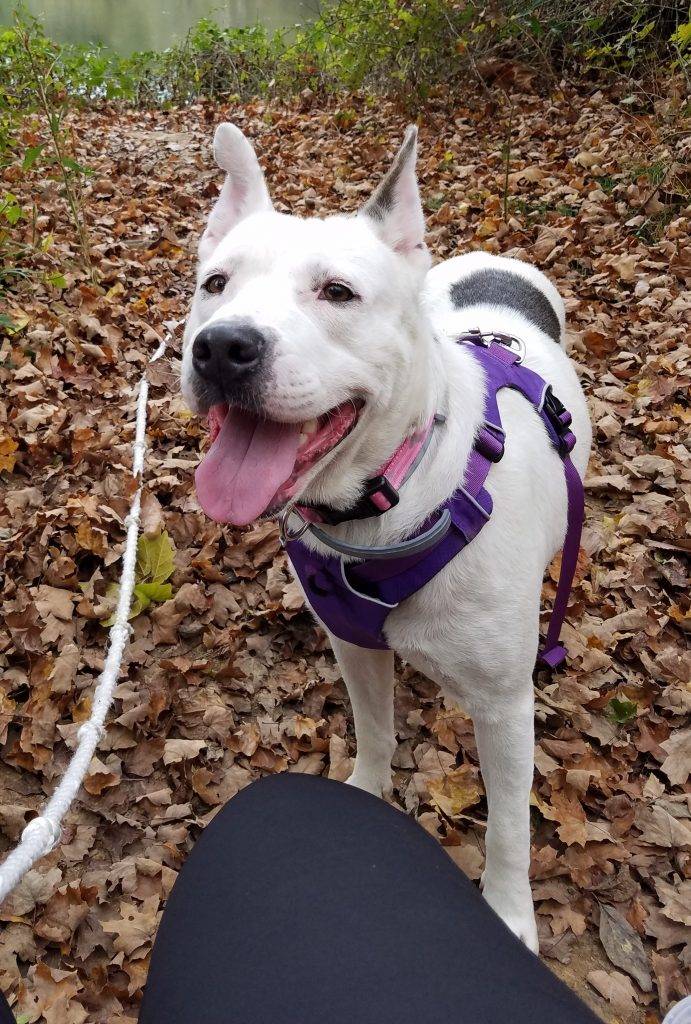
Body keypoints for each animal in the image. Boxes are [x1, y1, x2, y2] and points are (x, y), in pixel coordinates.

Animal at [181, 125, 593, 950]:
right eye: (216, 283)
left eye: (337, 292)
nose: (222, 346)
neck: (385, 503)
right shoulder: (353, 644)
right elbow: (373, 728)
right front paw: (366, 794)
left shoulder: (505, 706)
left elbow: (508, 828)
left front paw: (508, 915)